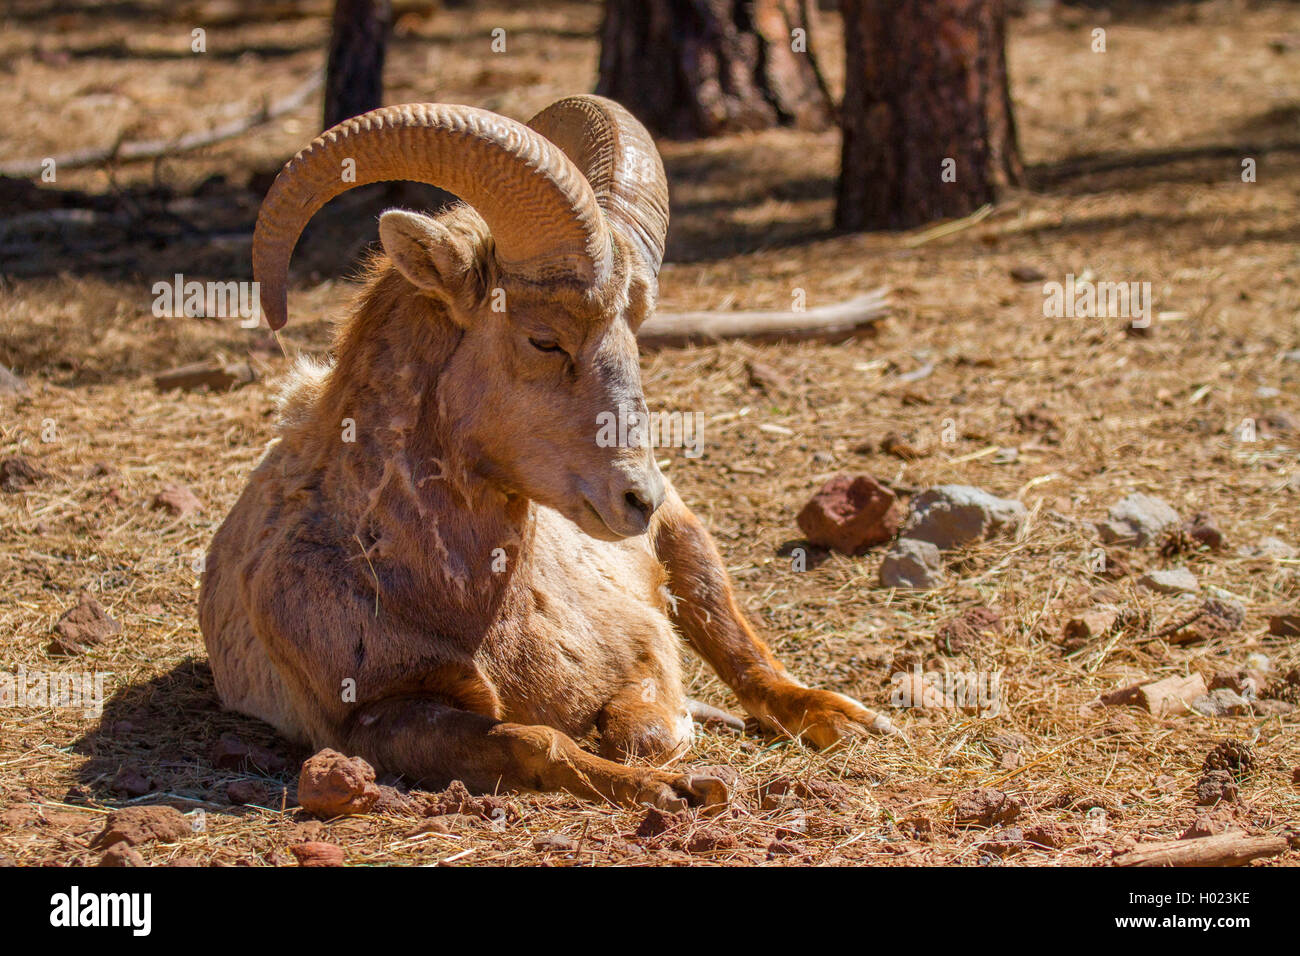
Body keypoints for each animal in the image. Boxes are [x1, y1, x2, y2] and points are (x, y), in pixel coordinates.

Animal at [200, 97, 894, 811]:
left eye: (633, 334)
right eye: (543, 339)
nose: (638, 499)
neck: (466, 607)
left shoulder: (641, 649)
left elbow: (640, 731)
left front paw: (682, 756)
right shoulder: (375, 720)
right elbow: (535, 740)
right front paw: (674, 789)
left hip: (687, 546)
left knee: (744, 652)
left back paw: (848, 721)